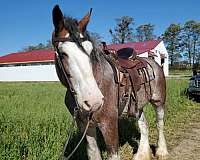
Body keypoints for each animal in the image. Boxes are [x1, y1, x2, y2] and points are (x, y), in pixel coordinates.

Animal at [52, 5, 169, 160]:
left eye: (90, 50)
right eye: (63, 53)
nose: (94, 101)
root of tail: (154, 62)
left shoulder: (109, 124)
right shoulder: (85, 126)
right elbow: (93, 153)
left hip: (158, 101)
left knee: (159, 123)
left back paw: (162, 151)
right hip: (137, 106)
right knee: (144, 125)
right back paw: (142, 154)